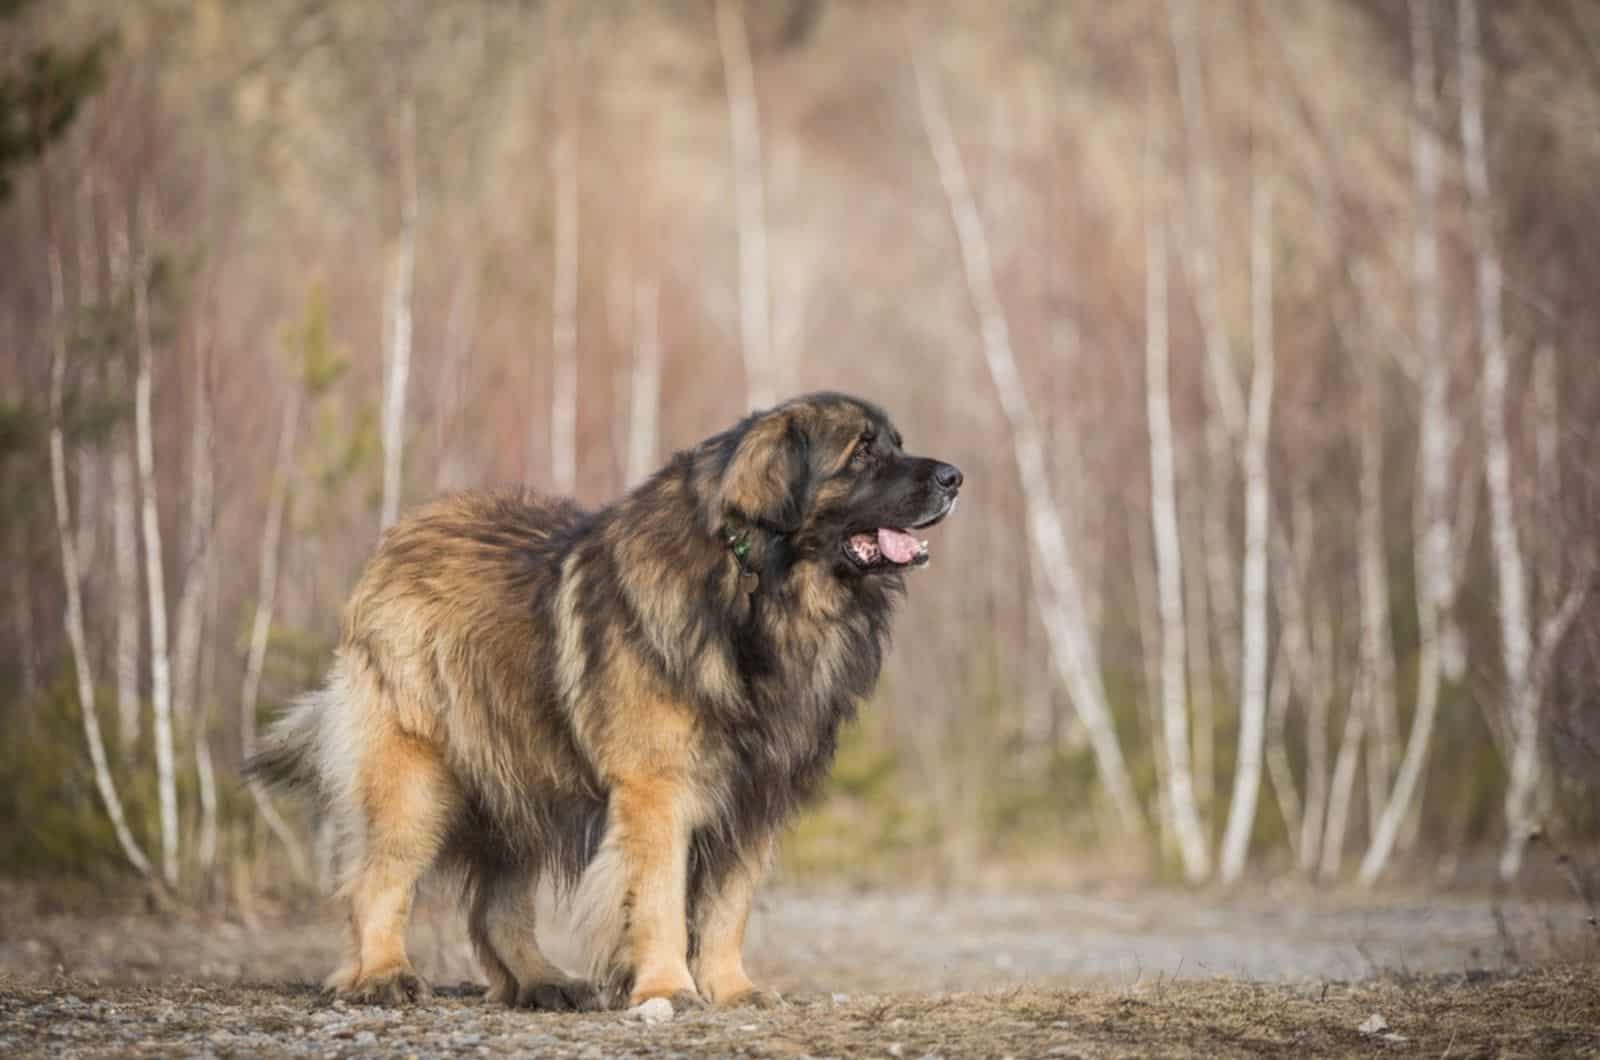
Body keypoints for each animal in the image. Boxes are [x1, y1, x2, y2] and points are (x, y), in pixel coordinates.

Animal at [243, 390, 953, 1011]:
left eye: (896, 443)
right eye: (862, 452)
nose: (954, 477)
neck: (759, 585)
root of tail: (400, 536)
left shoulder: (755, 796)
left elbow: (728, 906)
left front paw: (732, 989)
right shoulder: (657, 791)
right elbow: (659, 897)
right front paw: (668, 989)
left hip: (520, 771)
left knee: (497, 906)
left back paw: (542, 983)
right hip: (415, 777)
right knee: (376, 879)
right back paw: (383, 975)